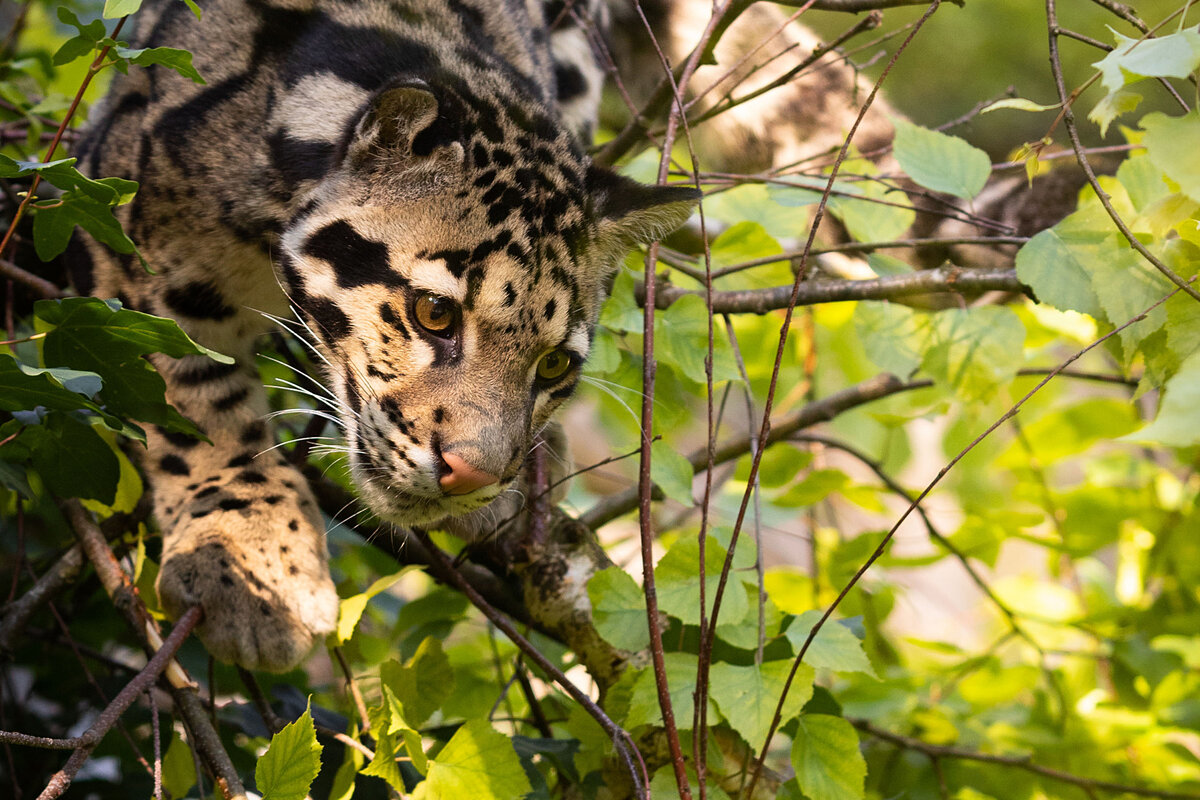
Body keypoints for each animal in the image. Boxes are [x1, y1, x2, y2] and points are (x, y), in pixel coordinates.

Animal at [72, 0, 696, 671]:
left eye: (554, 365)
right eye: (434, 313)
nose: (473, 475)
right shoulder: (117, 226)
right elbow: (194, 400)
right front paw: (248, 560)